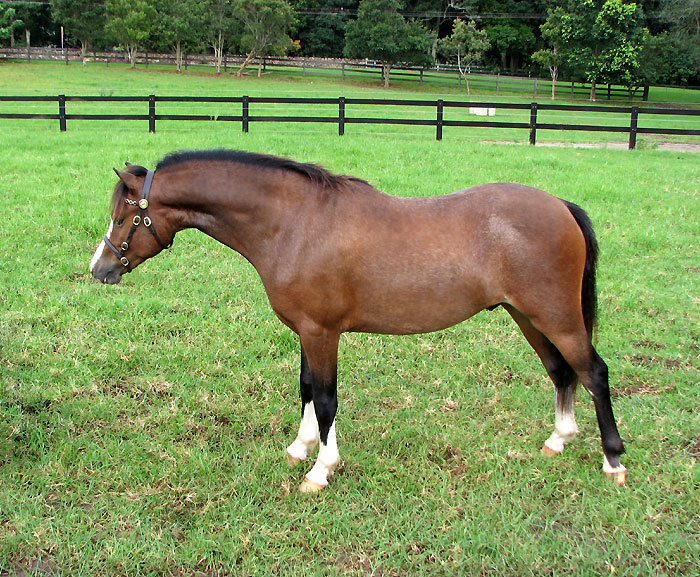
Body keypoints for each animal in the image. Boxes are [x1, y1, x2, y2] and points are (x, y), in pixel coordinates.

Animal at [90, 148, 626, 492]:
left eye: (123, 217)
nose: (100, 269)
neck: (295, 223)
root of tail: (561, 207)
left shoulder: (322, 332)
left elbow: (326, 398)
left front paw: (320, 469)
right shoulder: (306, 331)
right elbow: (307, 388)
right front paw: (300, 448)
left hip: (556, 317)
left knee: (593, 372)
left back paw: (613, 460)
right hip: (529, 317)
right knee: (561, 372)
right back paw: (558, 441)